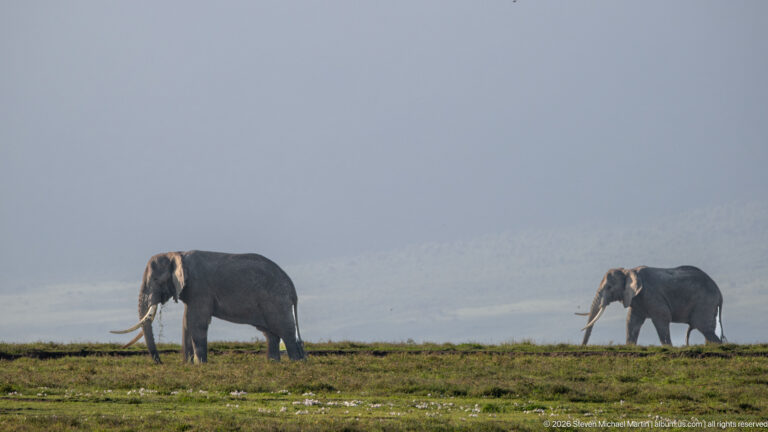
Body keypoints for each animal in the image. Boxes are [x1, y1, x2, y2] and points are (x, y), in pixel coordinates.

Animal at [111, 250, 306, 363]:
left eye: (156, 280)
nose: (160, 362)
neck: (176, 254)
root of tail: (292, 287)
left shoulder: (200, 287)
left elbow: (196, 322)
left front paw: (200, 365)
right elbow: (186, 322)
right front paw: (188, 365)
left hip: (276, 301)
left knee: (286, 333)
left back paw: (295, 364)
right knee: (271, 334)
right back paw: (274, 365)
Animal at [578, 266, 725, 346]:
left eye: (609, 287)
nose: (583, 346)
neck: (629, 271)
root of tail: (720, 293)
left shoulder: (652, 295)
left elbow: (662, 318)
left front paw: (668, 347)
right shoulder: (636, 299)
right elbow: (632, 322)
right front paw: (630, 346)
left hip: (705, 303)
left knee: (704, 328)